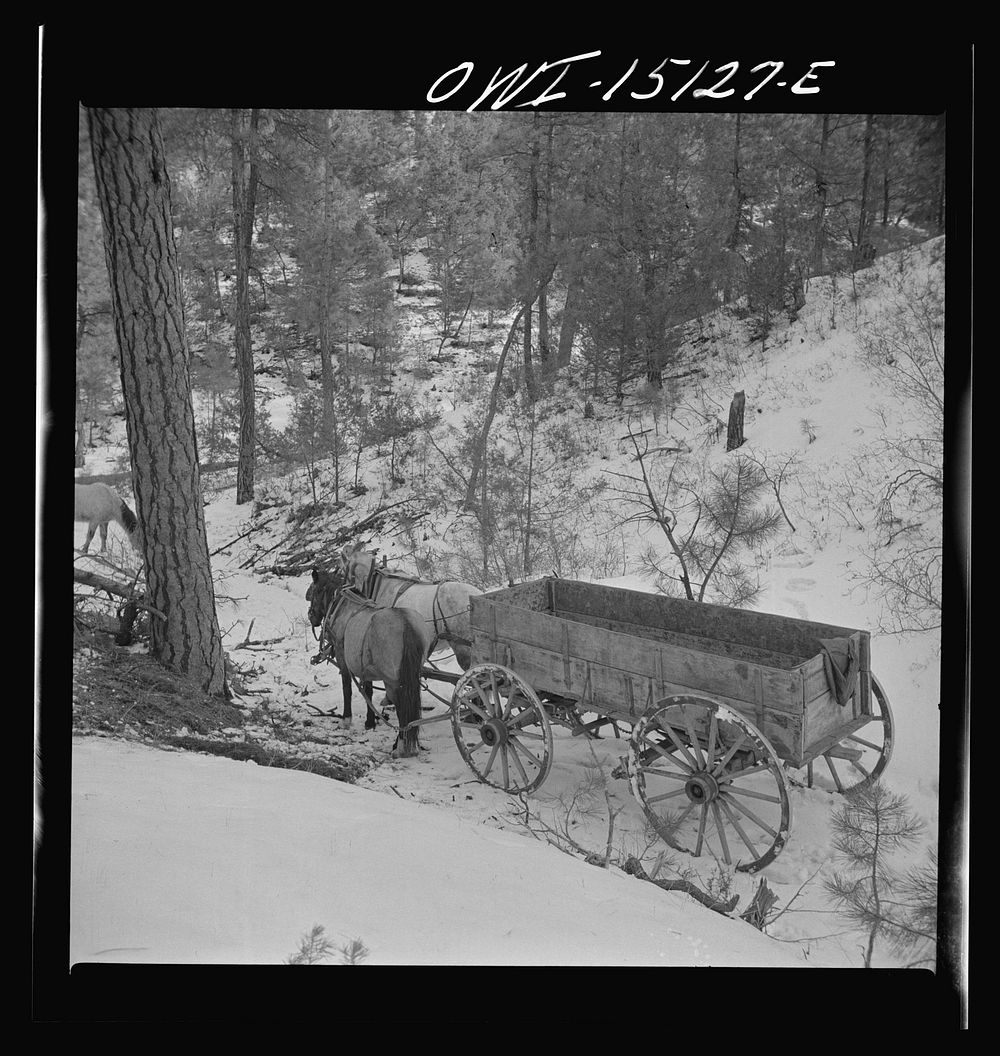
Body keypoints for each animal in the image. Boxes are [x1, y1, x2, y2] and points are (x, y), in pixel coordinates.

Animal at [304, 570, 430, 760]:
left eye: (316, 591)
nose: (312, 617)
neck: (343, 608)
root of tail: (405, 624)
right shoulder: (366, 667)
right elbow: (368, 692)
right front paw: (370, 722)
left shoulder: (342, 658)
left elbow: (347, 689)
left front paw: (345, 720)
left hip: (393, 680)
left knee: (402, 708)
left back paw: (401, 747)